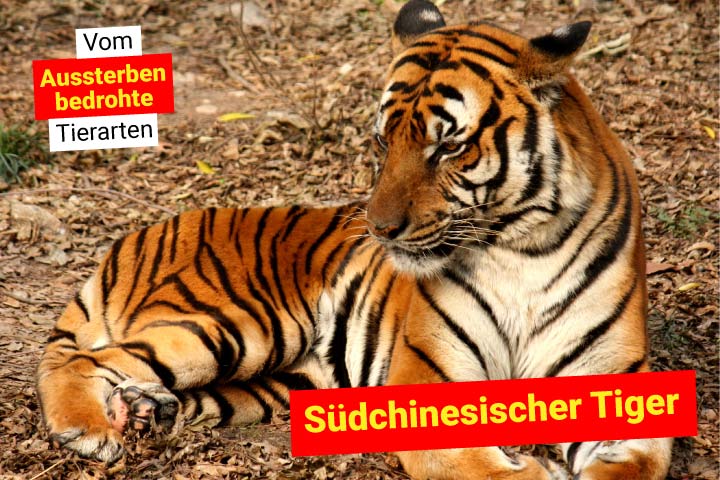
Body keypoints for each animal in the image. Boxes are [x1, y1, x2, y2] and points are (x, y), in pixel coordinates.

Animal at [37, 1, 673, 478]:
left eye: (448, 146)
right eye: (383, 141)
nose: (380, 229)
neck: (520, 249)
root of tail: (141, 234)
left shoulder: (619, 390)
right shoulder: (431, 382)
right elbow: (477, 465)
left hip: (283, 379)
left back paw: (147, 411)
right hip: (236, 323)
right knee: (83, 359)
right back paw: (88, 430)